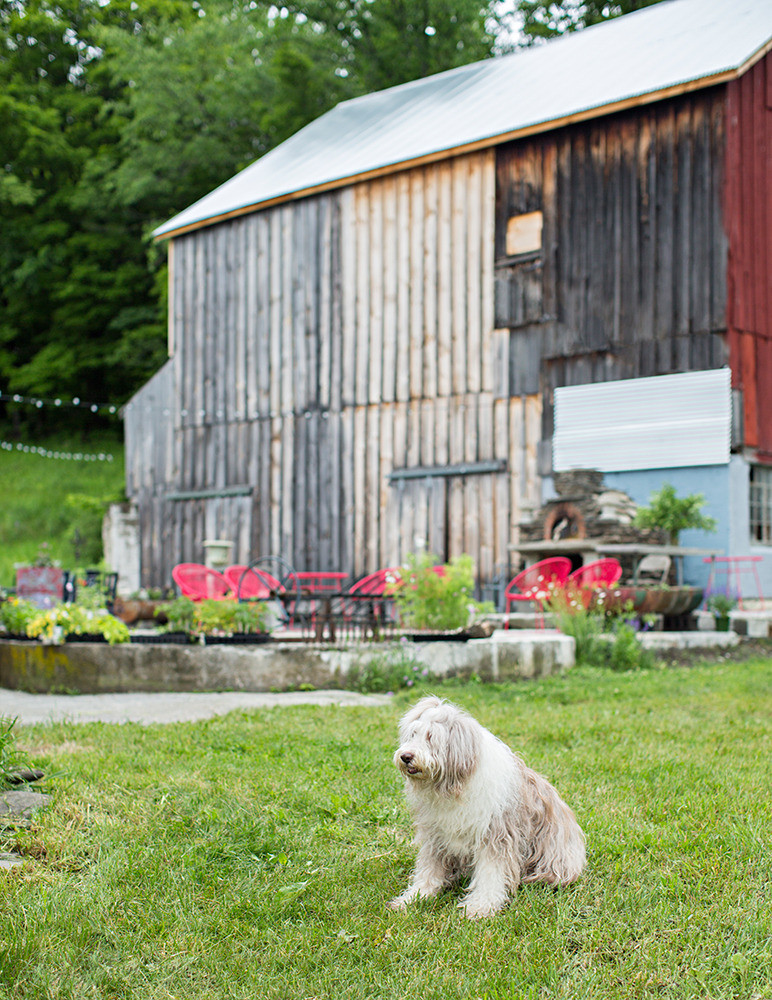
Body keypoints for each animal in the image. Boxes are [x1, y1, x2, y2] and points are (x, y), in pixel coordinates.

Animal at [392, 696, 584, 920]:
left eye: (431, 737)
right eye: (413, 734)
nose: (406, 756)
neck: (453, 786)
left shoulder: (496, 835)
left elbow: (491, 875)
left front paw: (480, 907)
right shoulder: (436, 835)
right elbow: (429, 869)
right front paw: (415, 896)